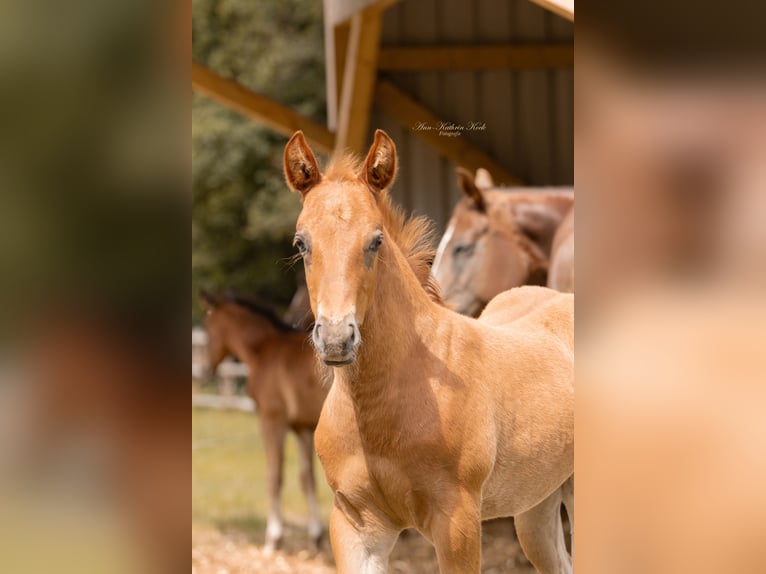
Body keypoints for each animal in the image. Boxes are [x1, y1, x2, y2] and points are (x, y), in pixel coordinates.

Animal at [198, 291, 327, 553]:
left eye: (207, 327)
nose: (203, 370)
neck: (262, 351)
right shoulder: (302, 428)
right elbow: (307, 479)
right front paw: (317, 536)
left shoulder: (272, 420)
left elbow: (274, 475)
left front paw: (273, 538)